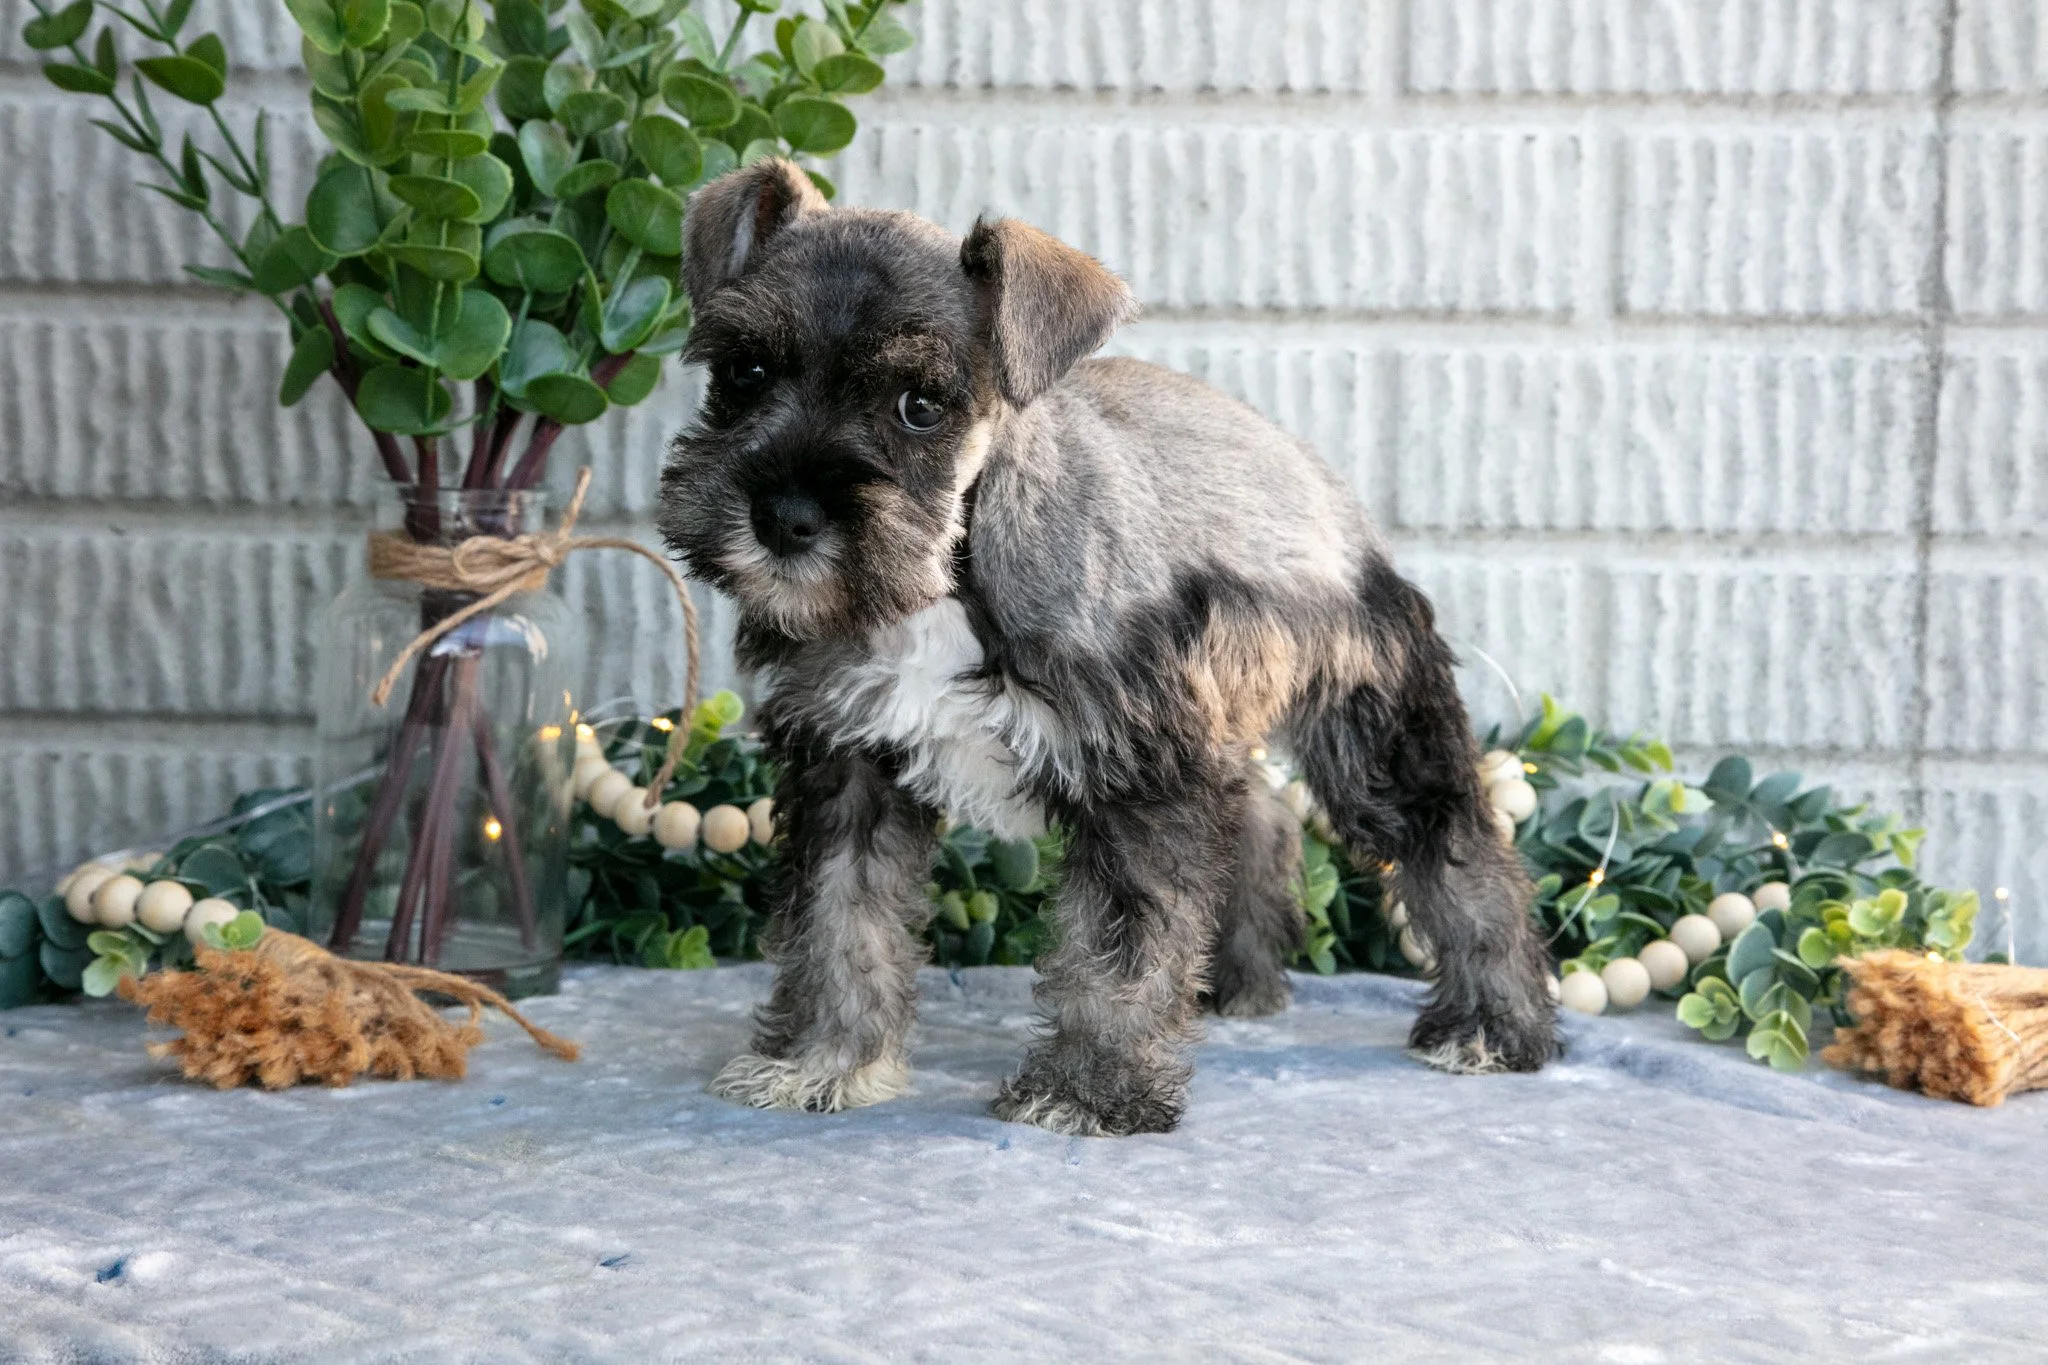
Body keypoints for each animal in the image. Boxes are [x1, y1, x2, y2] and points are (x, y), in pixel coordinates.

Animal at [659, 160, 1559, 1136]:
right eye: (745, 371)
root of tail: (1309, 466)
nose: (784, 518)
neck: (950, 573)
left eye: (921, 405)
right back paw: (1238, 979)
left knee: (1456, 847)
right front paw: (823, 1059)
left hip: (1370, 730)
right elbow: (839, 918)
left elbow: (1119, 948)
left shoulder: (1138, 777)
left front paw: (1087, 1088)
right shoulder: (847, 765)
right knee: (1265, 818)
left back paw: (1495, 1022)